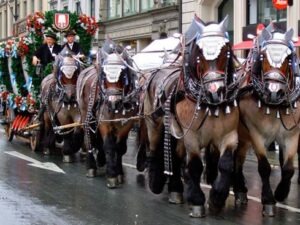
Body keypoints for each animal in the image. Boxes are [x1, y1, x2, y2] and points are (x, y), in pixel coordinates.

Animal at [77, 40, 138, 188]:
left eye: (123, 74)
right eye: (104, 75)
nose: (112, 102)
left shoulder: (126, 124)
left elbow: (120, 148)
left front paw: (119, 172)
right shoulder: (105, 123)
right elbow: (109, 146)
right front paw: (111, 175)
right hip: (85, 114)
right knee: (88, 137)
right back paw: (91, 166)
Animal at [233, 25, 300, 216]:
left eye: (288, 58)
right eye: (263, 57)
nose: (274, 92)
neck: (275, 106)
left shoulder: (291, 135)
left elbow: (288, 168)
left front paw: (281, 192)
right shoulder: (256, 134)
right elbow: (264, 167)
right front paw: (268, 200)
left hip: (244, 138)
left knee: (237, 158)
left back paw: (240, 189)